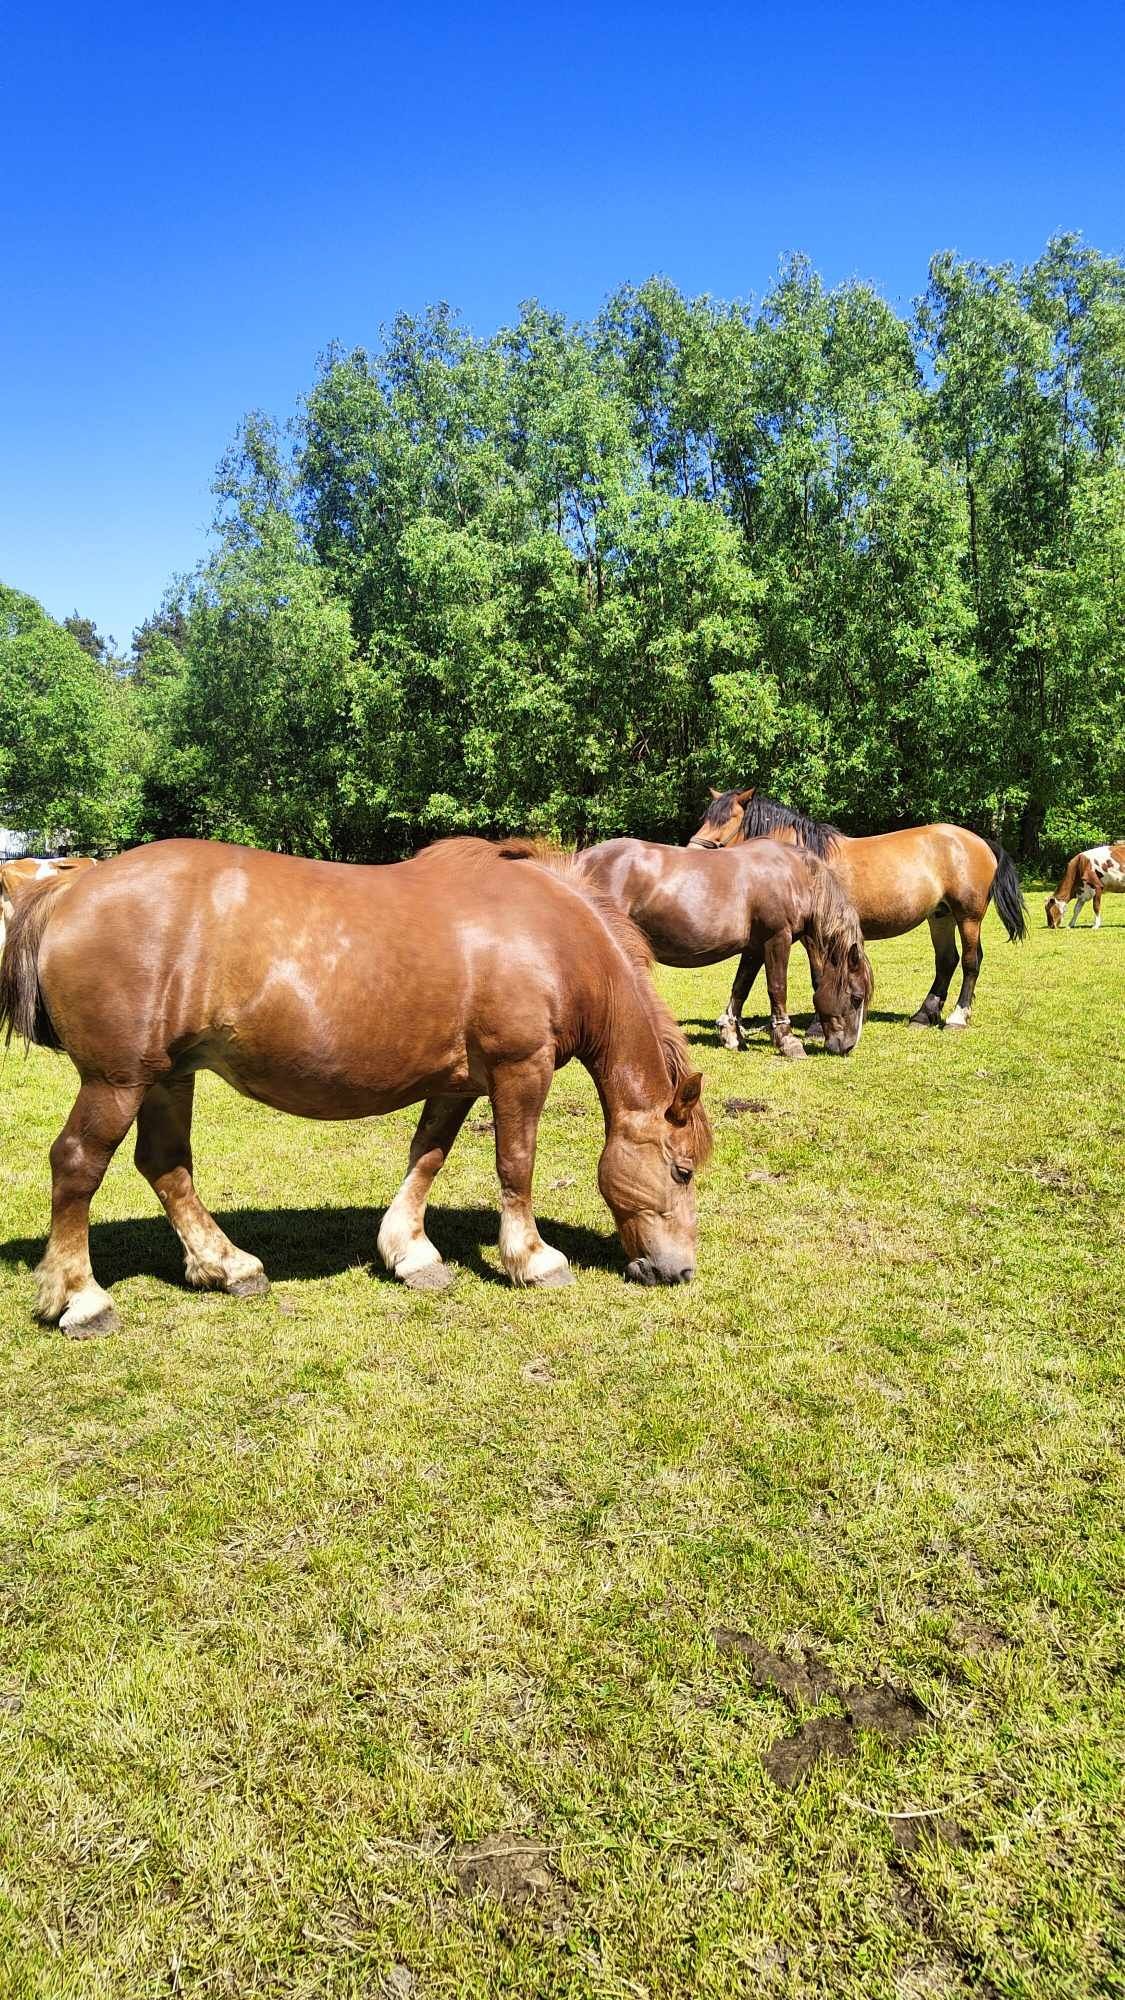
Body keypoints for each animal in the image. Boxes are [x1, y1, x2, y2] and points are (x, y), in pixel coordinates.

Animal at [0, 836, 708, 1336]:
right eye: (681, 1171)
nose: (679, 1271)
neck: (551, 938)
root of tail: (71, 887)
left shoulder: (457, 1082)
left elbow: (427, 1157)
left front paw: (411, 1253)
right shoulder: (519, 1068)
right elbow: (516, 1164)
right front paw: (533, 1258)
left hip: (167, 1076)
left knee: (166, 1165)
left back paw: (228, 1266)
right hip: (116, 1081)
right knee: (77, 1165)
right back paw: (82, 1299)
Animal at [572, 836, 872, 1064]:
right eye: (856, 998)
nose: (847, 1047)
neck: (794, 876)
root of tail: (581, 861)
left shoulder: (754, 947)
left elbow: (741, 987)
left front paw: (731, 1034)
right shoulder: (777, 938)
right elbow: (777, 988)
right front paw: (788, 1041)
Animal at [684, 784, 1024, 1040]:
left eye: (729, 819)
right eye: (706, 816)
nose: (691, 855)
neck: (804, 862)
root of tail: (979, 841)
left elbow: (819, 976)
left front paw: (818, 1027)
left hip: (968, 917)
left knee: (970, 962)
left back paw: (957, 1016)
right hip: (940, 916)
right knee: (946, 961)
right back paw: (923, 1015)